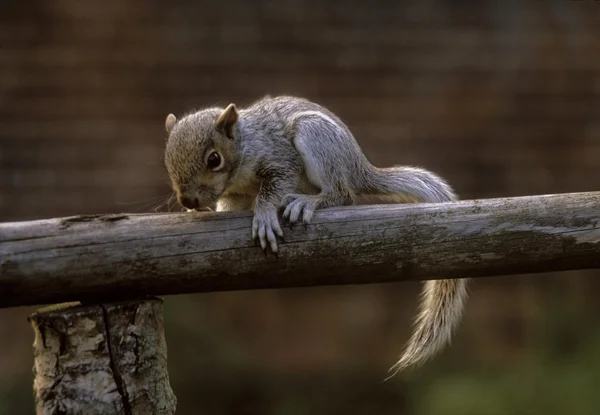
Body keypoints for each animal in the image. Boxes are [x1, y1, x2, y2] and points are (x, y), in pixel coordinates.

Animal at [163, 96, 468, 376]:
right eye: (167, 160)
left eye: (214, 159)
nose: (187, 200)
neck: (244, 145)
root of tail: (358, 168)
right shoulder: (236, 195)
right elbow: (232, 206)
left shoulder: (280, 158)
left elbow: (273, 188)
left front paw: (264, 214)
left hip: (316, 136)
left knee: (343, 194)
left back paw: (308, 201)